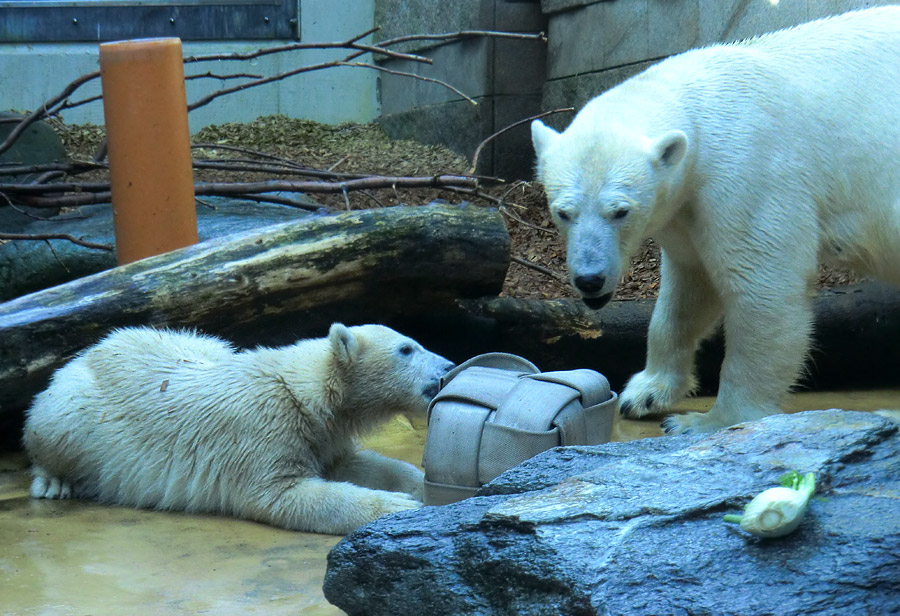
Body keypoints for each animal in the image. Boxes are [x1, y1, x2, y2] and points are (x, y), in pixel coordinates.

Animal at [532, 8, 900, 434]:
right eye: (563, 212)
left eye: (621, 211)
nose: (590, 279)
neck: (699, 110)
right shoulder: (684, 204)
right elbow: (689, 286)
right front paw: (644, 393)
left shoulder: (749, 171)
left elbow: (762, 283)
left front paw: (704, 421)